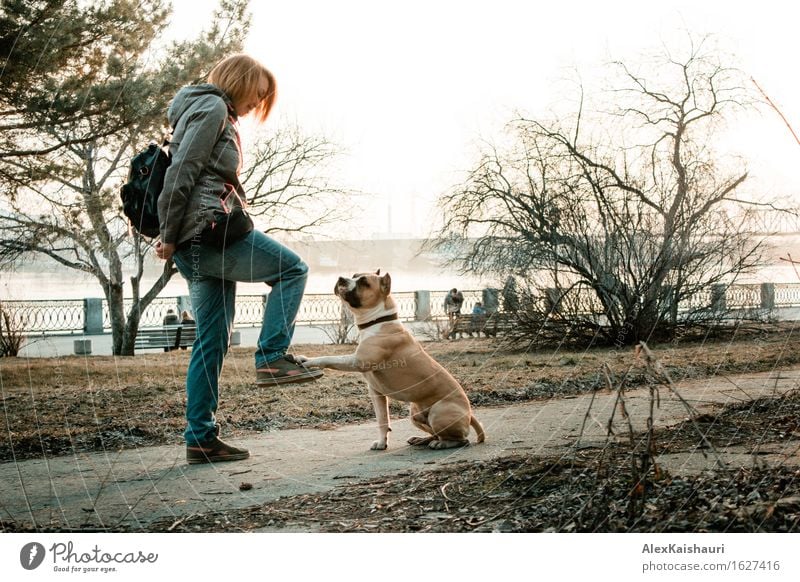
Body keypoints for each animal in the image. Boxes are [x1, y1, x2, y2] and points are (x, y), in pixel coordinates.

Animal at [296, 272, 484, 452]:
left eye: (364, 282)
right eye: (354, 275)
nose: (341, 278)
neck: (378, 321)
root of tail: (470, 414)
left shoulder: (357, 361)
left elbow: (329, 358)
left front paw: (306, 360)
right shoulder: (376, 392)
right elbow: (382, 420)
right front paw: (382, 443)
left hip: (439, 413)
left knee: (462, 440)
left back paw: (442, 444)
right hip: (414, 413)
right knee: (437, 433)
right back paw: (422, 439)